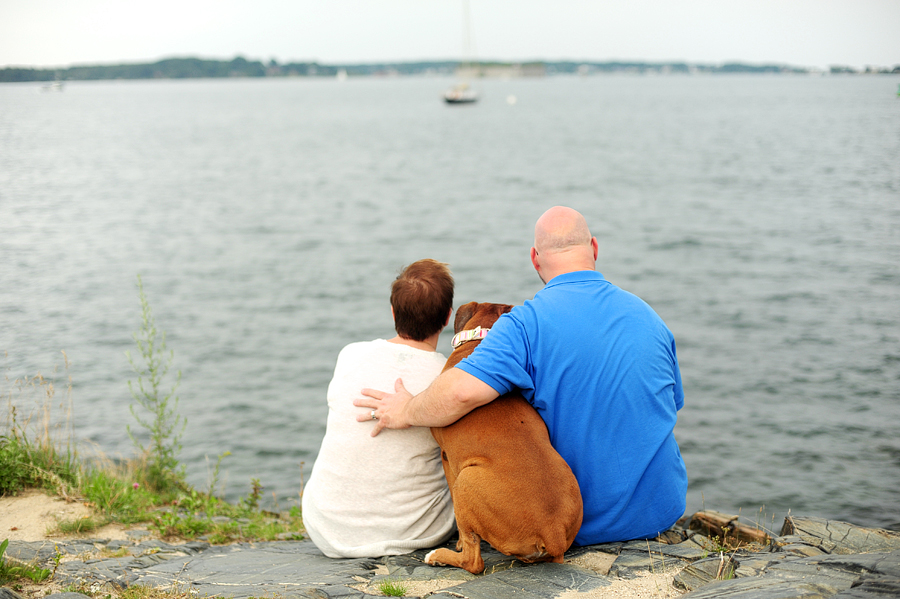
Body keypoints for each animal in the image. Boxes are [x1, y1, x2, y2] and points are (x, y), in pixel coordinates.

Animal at [424, 302, 584, 576]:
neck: (479, 342)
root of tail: (552, 531)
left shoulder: (447, 459)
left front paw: (456, 543)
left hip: (466, 480)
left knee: (473, 561)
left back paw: (439, 556)